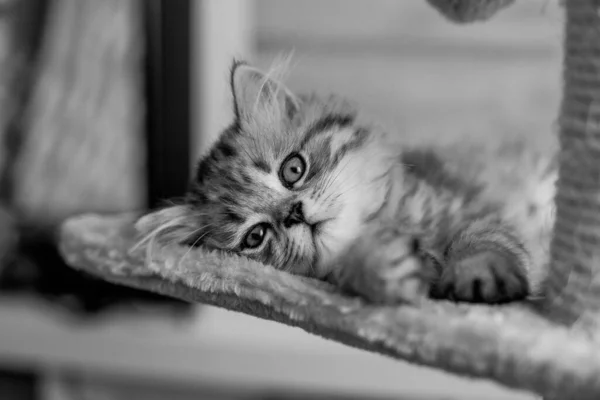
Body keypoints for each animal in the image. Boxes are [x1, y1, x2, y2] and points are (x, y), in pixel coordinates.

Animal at [136, 58, 552, 304]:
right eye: (256, 236)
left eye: (293, 169)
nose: (294, 213)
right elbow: (356, 269)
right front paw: (383, 267)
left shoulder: (471, 210)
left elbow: (482, 242)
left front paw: (477, 275)